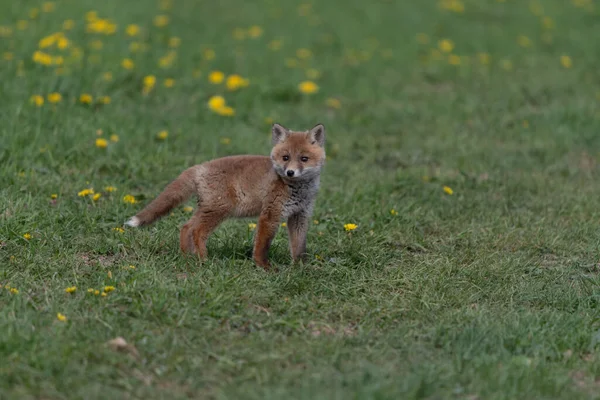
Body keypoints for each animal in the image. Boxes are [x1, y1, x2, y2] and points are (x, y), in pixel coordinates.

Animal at [123, 123, 326, 270]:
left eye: (304, 159)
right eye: (285, 157)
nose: (290, 172)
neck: (297, 189)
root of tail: (199, 166)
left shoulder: (299, 215)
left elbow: (299, 247)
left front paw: (300, 267)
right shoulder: (270, 214)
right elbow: (262, 245)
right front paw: (264, 267)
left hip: (207, 208)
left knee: (186, 227)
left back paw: (187, 257)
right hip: (219, 209)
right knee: (197, 231)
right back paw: (203, 260)